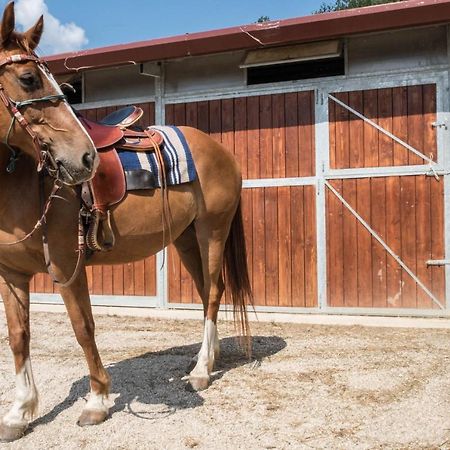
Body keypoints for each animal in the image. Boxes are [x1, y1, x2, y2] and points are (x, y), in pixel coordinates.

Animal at [0, 0, 251, 442]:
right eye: (29, 79)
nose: (85, 159)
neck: (22, 180)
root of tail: (220, 149)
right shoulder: (11, 274)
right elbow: (18, 338)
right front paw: (19, 412)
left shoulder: (66, 265)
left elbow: (83, 327)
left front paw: (98, 401)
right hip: (185, 238)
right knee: (206, 291)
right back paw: (206, 358)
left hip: (213, 231)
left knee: (215, 291)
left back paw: (202, 371)